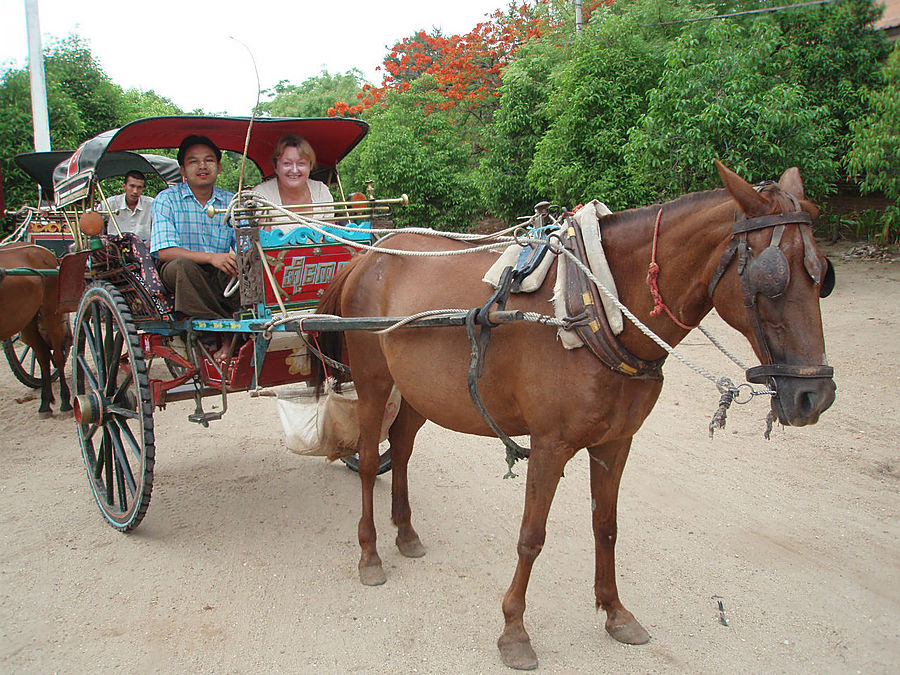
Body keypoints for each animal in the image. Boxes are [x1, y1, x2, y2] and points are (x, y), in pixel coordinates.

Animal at [0, 243, 71, 418]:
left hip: (51, 314)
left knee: (57, 357)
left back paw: (65, 401)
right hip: (28, 322)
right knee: (43, 357)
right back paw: (45, 403)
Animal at [312, 160, 836, 672]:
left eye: (822, 275)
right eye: (771, 278)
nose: (816, 395)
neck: (595, 310)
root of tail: (368, 256)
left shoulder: (616, 441)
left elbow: (606, 525)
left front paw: (616, 612)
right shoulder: (551, 444)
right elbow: (531, 536)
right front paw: (514, 630)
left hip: (422, 391)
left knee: (400, 448)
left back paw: (405, 532)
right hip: (374, 380)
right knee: (367, 458)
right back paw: (370, 553)